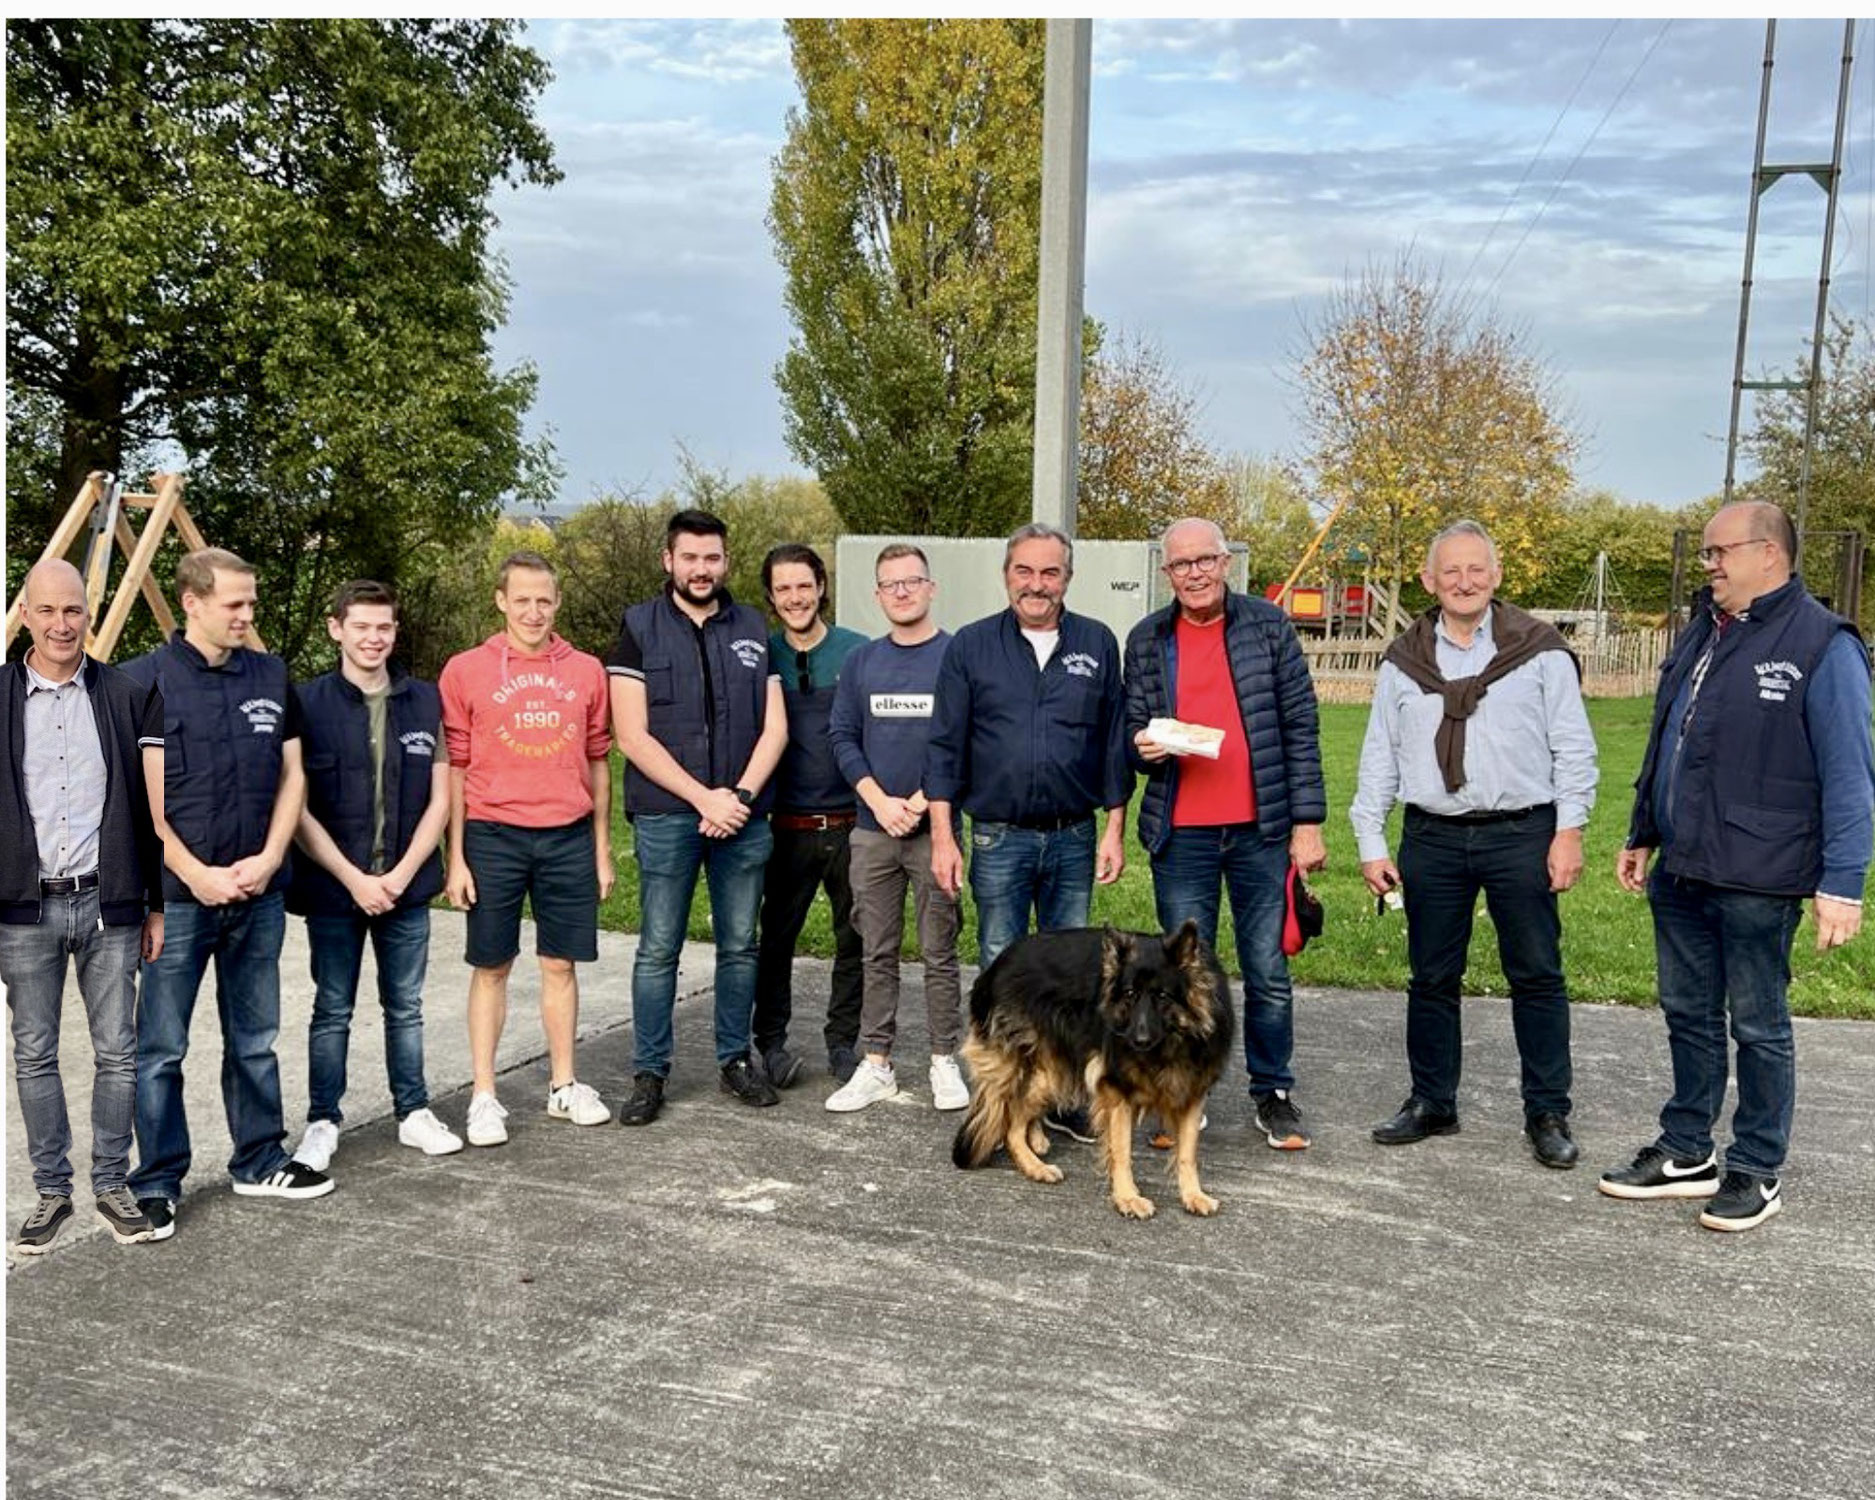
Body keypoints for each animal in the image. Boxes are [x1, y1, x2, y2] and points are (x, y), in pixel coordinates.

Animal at [952, 915, 1230, 1215]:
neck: (1172, 1043)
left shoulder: (1192, 1092)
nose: (1138, 1040)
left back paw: (1036, 1139)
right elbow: (1121, 1150)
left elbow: (1187, 1153)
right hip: (1049, 1073)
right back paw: (1035, 1166)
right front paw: (1127, 1197)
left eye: (1162, 995)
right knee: (1012, 1122)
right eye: (1129, 993)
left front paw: (1193, 1195)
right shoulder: (1117, 1091)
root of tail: (995, 966)